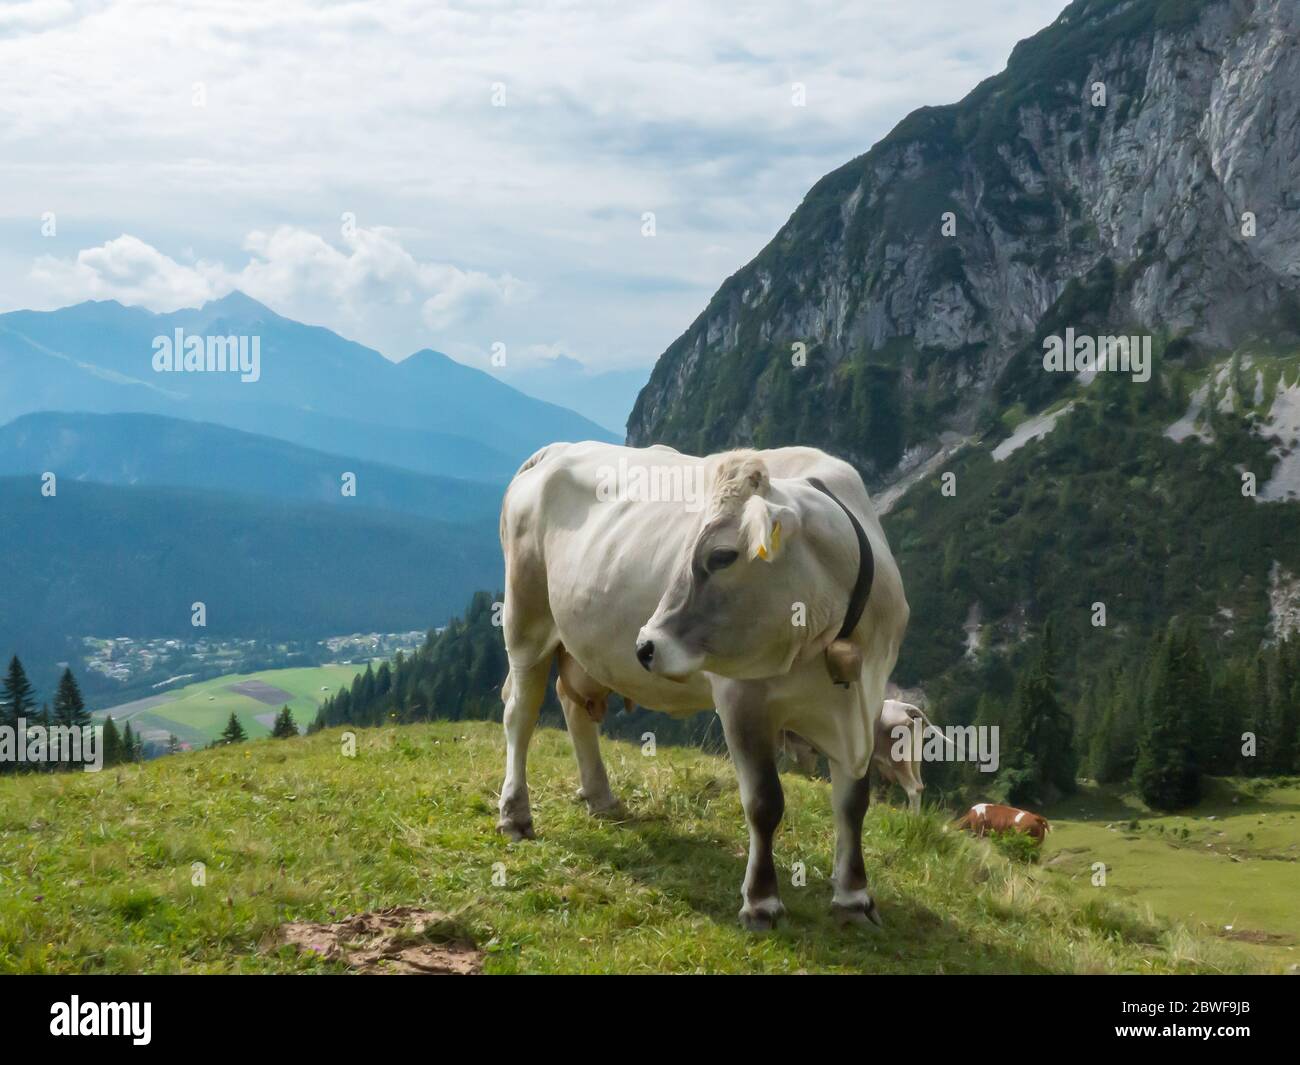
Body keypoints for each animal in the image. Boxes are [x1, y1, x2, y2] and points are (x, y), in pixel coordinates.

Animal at [496, 442, 909, 930]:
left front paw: (854, 897)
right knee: (520, 714)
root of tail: (557, 449)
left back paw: (601, 797)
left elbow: (853, 802)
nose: (645, 645)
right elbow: (764, 801)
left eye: (722, 555)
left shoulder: (864, 703)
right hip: (526, 617)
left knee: (574, 705)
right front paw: (761, 901)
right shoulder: (741, 699)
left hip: (584, 643)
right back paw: (515, 814)